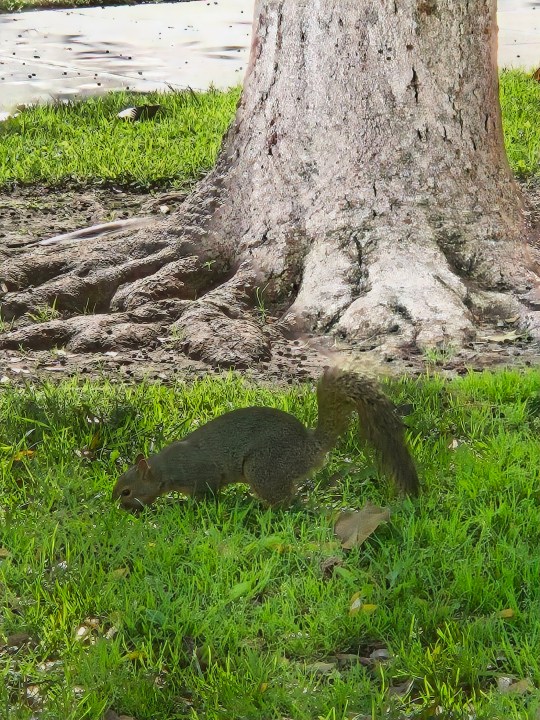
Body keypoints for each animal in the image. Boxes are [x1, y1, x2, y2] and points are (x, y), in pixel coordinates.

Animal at [112, 367, 419, 511]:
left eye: (126, 491)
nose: (121, 508)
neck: (165, 468)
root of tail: (310, 447)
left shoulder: (201, 474)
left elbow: (206, 495)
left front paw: (185, 506)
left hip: (262, 467)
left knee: (285, 499)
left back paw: (262, 507)